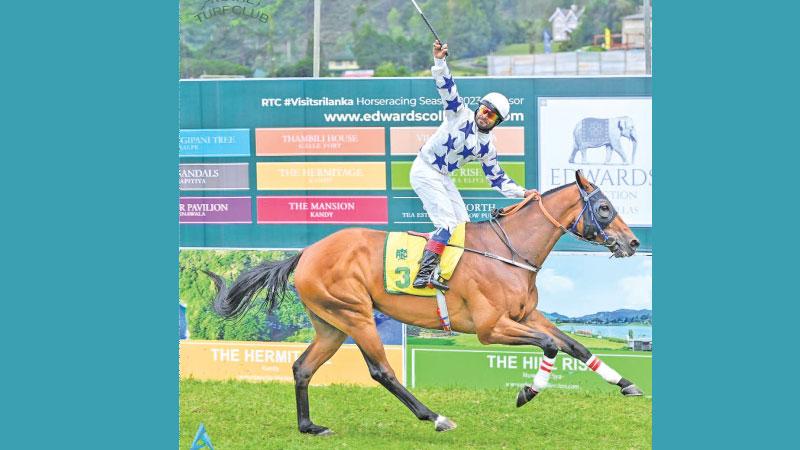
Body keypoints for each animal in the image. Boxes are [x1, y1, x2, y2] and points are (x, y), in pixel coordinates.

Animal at [205, 170, 644, 436]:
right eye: (604, 207)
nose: (633, 242)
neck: (509, 252)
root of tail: (307, 252)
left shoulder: (527, 315)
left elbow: (576, 345)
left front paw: (626, 384)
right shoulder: (491, 328)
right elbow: (552, 345)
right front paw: (527, 392)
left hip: (331, 324)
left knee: (302, 367)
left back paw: (309, 426)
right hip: (355, 315)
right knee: (381, 371)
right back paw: (435, 416)